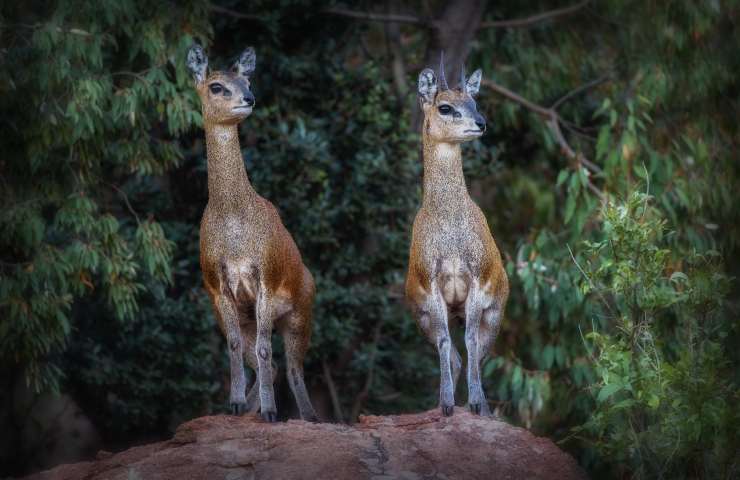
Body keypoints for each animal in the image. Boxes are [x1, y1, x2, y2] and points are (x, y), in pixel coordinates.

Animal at [186, 44, 316, 420]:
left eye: (246, 80)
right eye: (216, 86)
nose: (250, 98)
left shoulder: (266, 279)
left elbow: (264, 350)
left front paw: (270, 412)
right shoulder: (217, 286)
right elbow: (234, 347)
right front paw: (235, 403)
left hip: (300, 315)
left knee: (292, 367)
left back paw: (307, 416)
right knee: (270, 364)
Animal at [404, 55, 508, 416]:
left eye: (474, 101)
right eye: (445, 106)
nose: (481, 123)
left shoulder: (477, 281)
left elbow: (471, 342)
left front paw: (476, 402)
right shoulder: (432, 286)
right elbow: (447, 342)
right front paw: (447, 403)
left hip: (494, 313)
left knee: (478, 354)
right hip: (425, 316)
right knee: (453, 355)